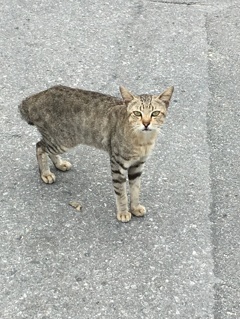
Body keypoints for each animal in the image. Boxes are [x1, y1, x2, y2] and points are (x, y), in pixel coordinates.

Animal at [18, 85, 172, 222]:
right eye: (137, 113)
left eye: (155, 113)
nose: (146, 124)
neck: (143, 141)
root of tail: (37, 97)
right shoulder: (117, 164)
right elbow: (121, 192)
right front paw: (123, 212)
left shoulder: (138, 166)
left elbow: (135, 189)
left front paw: (134, 207)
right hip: (63, 141)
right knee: (39, 146)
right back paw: (45, 173)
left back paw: (59, 164)